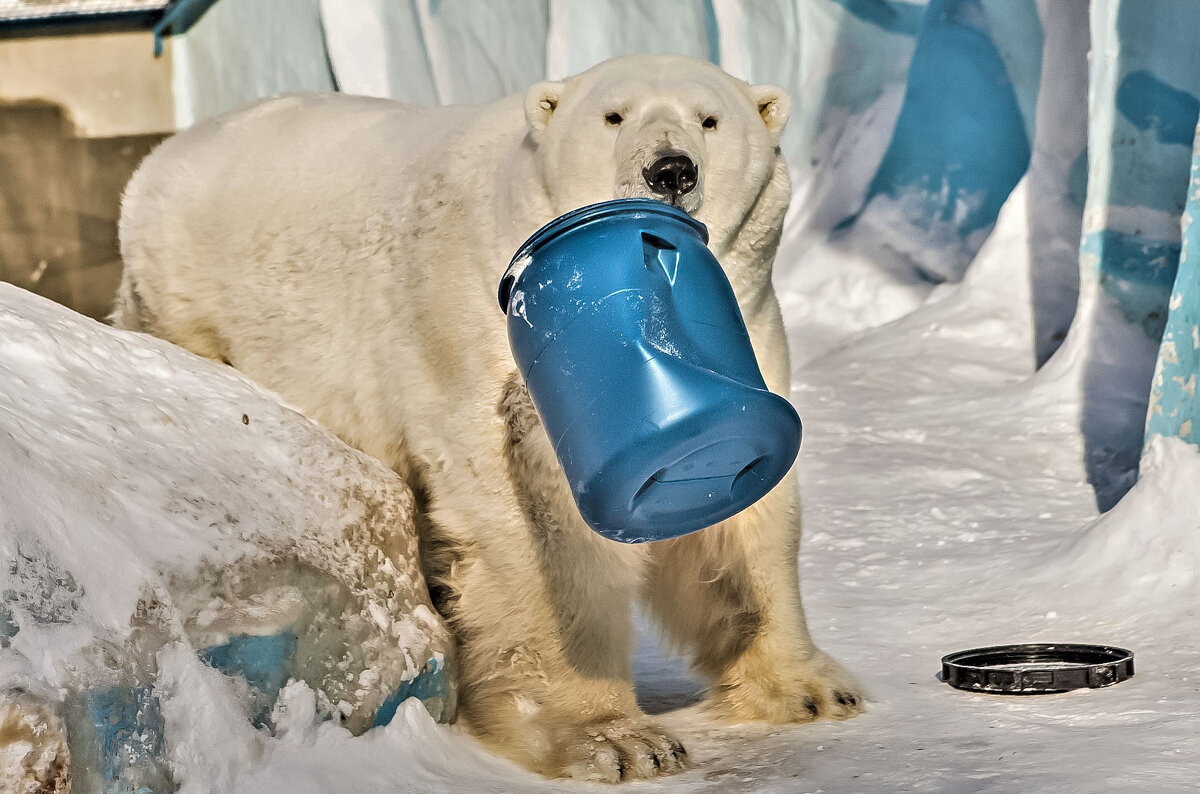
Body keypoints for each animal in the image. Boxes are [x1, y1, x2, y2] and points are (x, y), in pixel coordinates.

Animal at [112, 56, 864, 782]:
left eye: (710, 119)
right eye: (613, 115)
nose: (670, 170)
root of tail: (162, 156)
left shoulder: (747, 319)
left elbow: (747, 514)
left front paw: (813, 690)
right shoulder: (480, 333)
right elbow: (534, 517)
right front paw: (614, 741)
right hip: (193, 303)